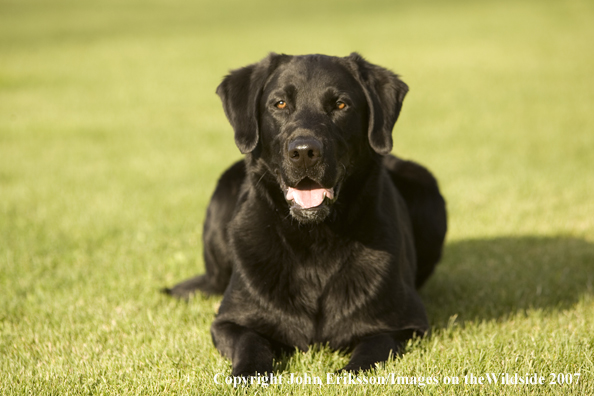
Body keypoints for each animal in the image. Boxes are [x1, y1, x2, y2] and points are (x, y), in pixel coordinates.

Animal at [164, 52, 446, 378]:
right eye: (280, 104)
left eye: (341, 105)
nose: (303, 152)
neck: (314, 241)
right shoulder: (229, 321)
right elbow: (251, 344)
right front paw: (246, 374)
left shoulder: (404, 324)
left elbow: (369, 355)